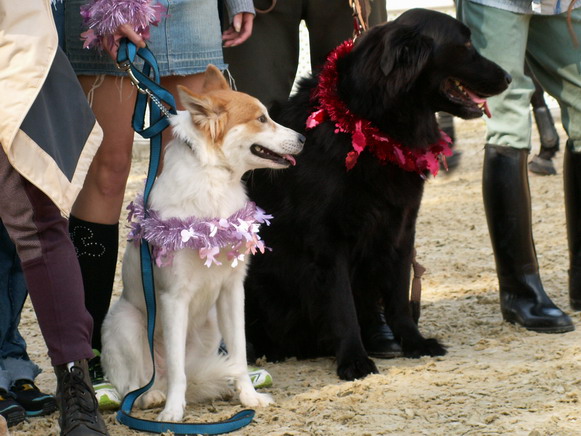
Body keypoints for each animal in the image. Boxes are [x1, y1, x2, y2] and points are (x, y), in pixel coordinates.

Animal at [101, 65, 304, 422]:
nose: (304, 138)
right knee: (137, 383)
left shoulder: (232, 291)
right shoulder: (173, 298)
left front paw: (249, 398)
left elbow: (238, 356)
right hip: (126, 323)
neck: (214, 179)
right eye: (261, 119)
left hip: (210, 327)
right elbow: (177, 371)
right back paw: (151, 396)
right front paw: (172, 412)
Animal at [242, 8, 510, 380]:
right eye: (466, 44)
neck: (370, 125)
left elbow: (398, 295)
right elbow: (342, 305)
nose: (509, 77)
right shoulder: (327, 239)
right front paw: (354, 359)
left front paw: (414, 342)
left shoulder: (401, 226)